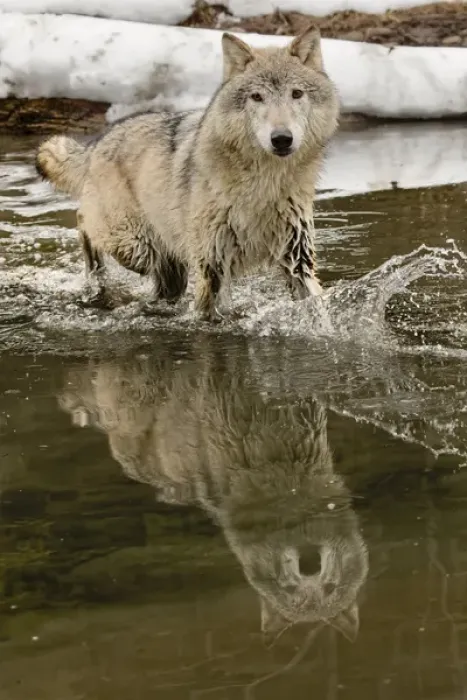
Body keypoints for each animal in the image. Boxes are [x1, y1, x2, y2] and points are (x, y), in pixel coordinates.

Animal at [36, 26, 339, 318]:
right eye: (257, 97)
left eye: (296, 94)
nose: (282, 139)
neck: (263, 185)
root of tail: (99, 142)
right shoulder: (212, 266)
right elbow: (208, 314)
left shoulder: (298, 261)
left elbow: (317, 307)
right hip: (137, 248)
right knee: (83, 222)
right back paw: (94, 276)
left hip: (166, 267)